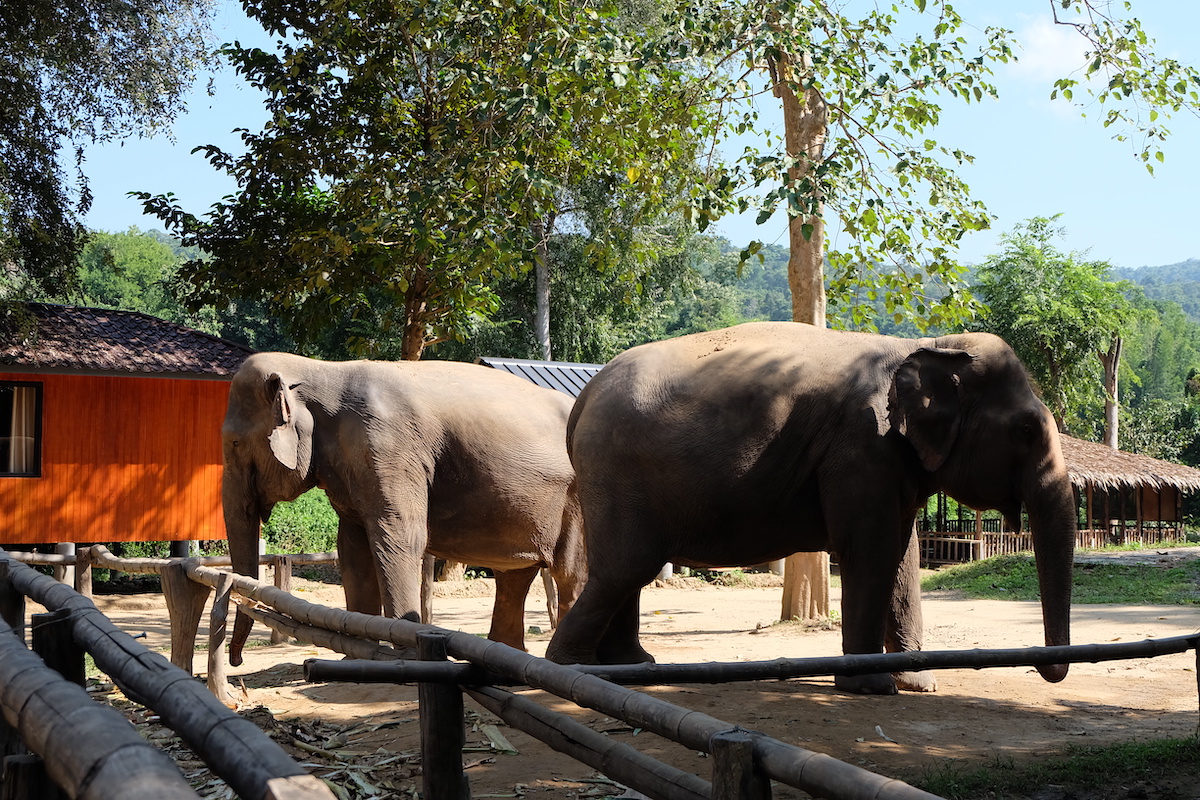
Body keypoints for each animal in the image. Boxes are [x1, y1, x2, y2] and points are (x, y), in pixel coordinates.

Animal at [221, 352, 587, 665]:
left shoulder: (389, 447)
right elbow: (352, 547)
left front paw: (408, 654)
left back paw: (569, 661)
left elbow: (398, 535)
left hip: (578, 499)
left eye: (234, 443)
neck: (321, 370)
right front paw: (354, 654)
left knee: (570, 575)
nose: (236, 660)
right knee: (514, 576)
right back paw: (504, 656)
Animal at [544, 322, 1075, 695]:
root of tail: (582, 400)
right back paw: (571, 668)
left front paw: (918, 682)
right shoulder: (863, 445)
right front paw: (870, 687)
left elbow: (903, 556)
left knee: (627, 571)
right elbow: (871, 551)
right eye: (1025, 431)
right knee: (626, 567)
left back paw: (633, 668)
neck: (926, 342)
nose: (1043, 665)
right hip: (618, 474)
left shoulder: (891, 460)